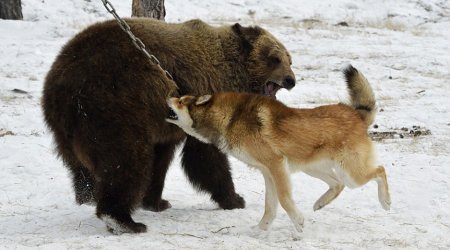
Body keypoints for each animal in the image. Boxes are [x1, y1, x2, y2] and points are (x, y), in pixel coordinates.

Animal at [41, 18, 296, 234]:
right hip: (114, 104)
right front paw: (234, 198)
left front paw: (156, 201)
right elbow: (205, 158)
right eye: (274, 58)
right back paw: (123, 220)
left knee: (80, 165)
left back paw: (87, 195)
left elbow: (160, 159)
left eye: (289, 58)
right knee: (126, 159)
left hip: (66, 124)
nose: (291, 80)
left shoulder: (165, 124)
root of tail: (65, 83)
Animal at [165, 65, 390, 231]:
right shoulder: (268, 172)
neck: (232, 117)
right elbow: (270, 207)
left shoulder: (276, 165)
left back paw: (385, 201)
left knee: (380, 170)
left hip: (350, 173)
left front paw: (298, 222)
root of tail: (356, 115)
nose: (168, 95)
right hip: (314, 168)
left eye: (181, 101)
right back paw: (320, 203)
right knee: (337, 184)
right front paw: (260, 230)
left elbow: (283, 199)